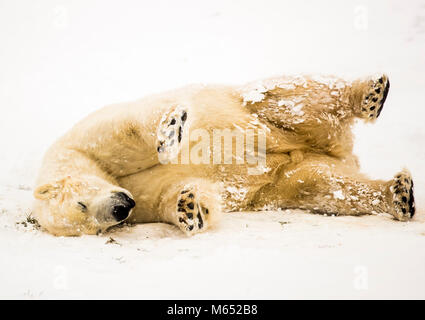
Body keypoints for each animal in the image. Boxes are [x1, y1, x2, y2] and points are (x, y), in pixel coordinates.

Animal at [32, 74, 414, 235]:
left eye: (81, 204)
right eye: (95, 229)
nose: (120, 209)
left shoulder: (83, 140)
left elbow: (127, 131)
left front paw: (170, 131)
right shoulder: (141, 204)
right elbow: (169, 195)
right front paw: (189, 208)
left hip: (257, 111)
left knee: (287, 97)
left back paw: (369, 95)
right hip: (287, 178)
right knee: (323, 187)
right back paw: (397, 194)